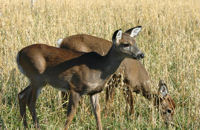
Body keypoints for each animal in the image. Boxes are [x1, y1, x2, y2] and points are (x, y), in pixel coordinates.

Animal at [16, 26, 145, 129]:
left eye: (135, 42)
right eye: (126, 44)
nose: (141, 54)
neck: (100, 68)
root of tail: (18, 54)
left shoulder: (94, 92)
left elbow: (97, 113)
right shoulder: (75, 87)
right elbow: (71, 113)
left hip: (36, 80)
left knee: (22, 95)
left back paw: (25, 126)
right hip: (37, 78)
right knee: (31, 102)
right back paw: (36, 126)